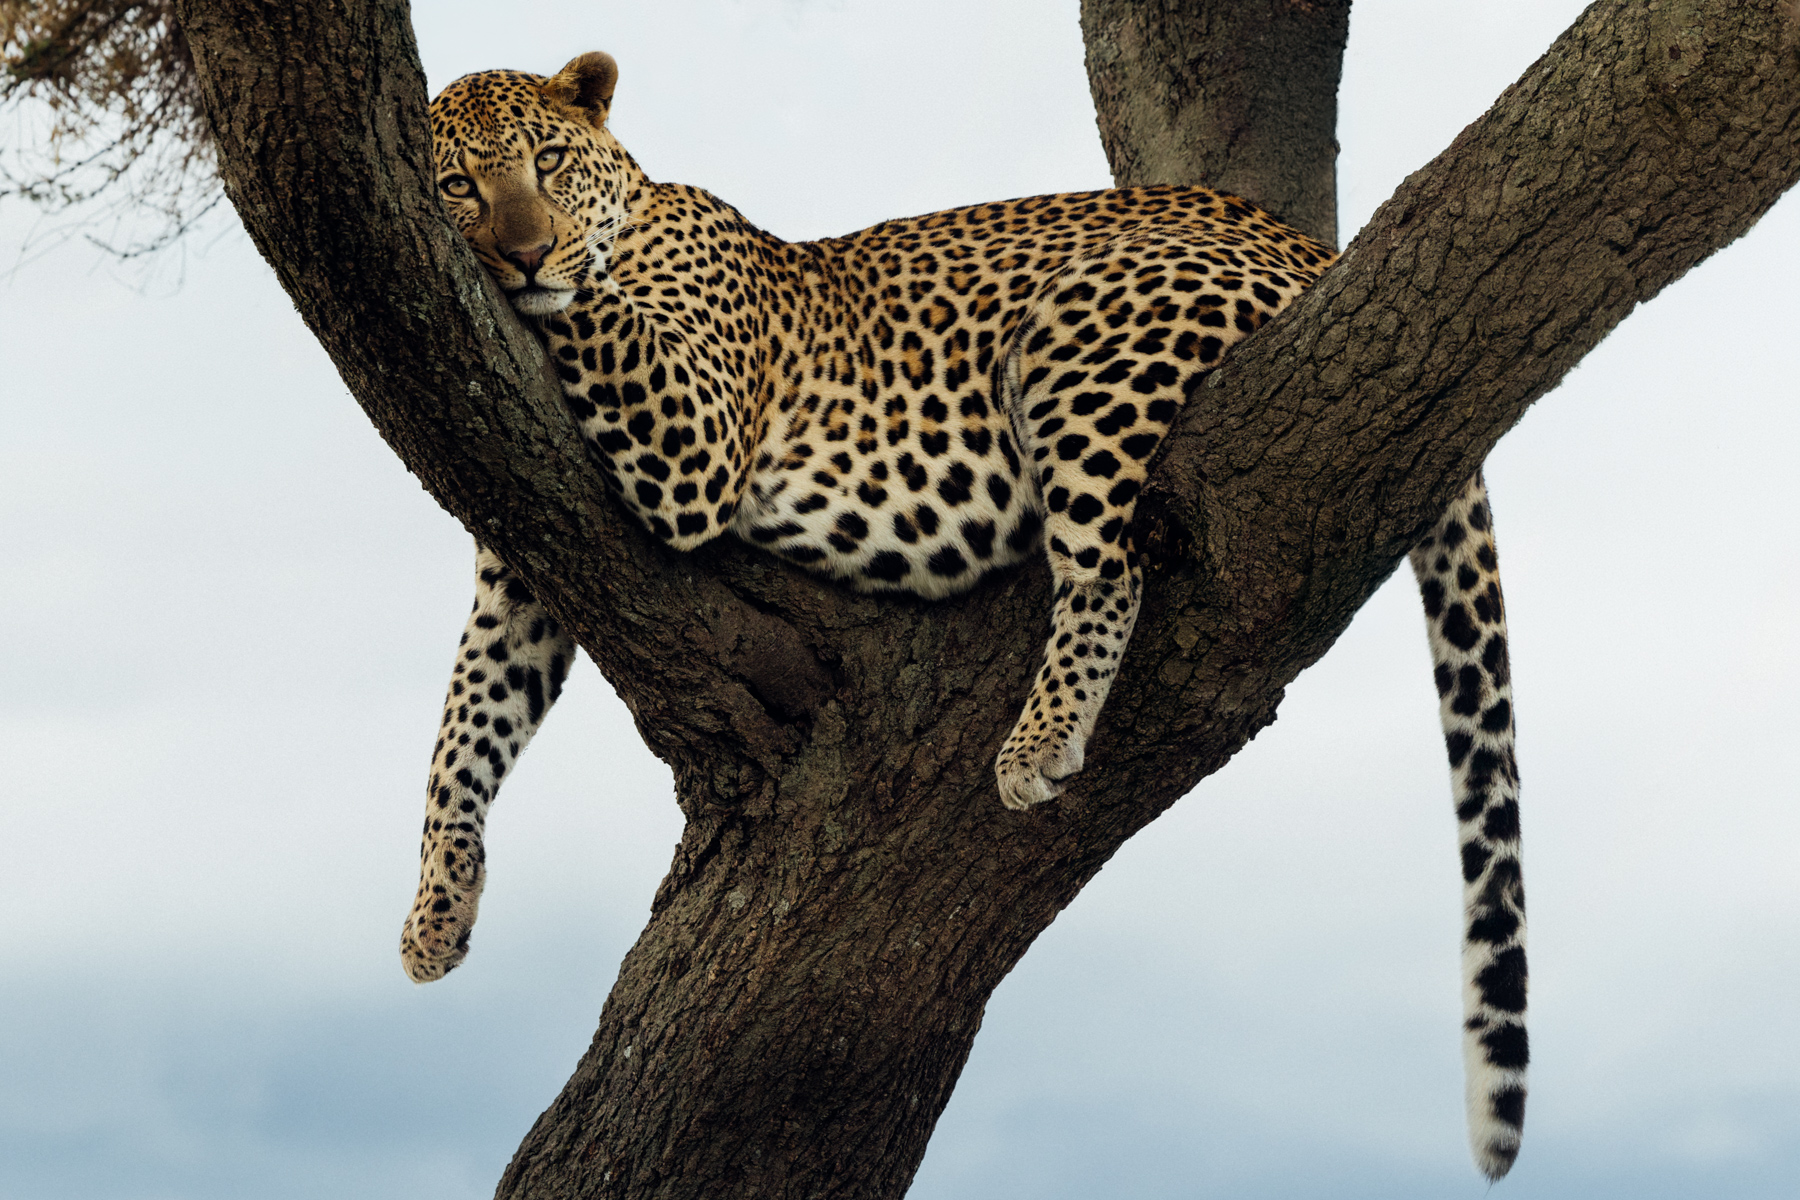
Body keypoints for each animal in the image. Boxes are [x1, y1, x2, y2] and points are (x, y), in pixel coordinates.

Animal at [400, 52, 1530, 1180]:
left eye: (548, 163)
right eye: (457, 185)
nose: (521, 251)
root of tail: (1302, 239)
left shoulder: (695, 438)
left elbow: (586, 306)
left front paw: (557, 276)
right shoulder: (522, 569)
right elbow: (464, 729)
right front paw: (434, 913)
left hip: (1087, 337)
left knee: (1107, 562)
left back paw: (1040, 737)